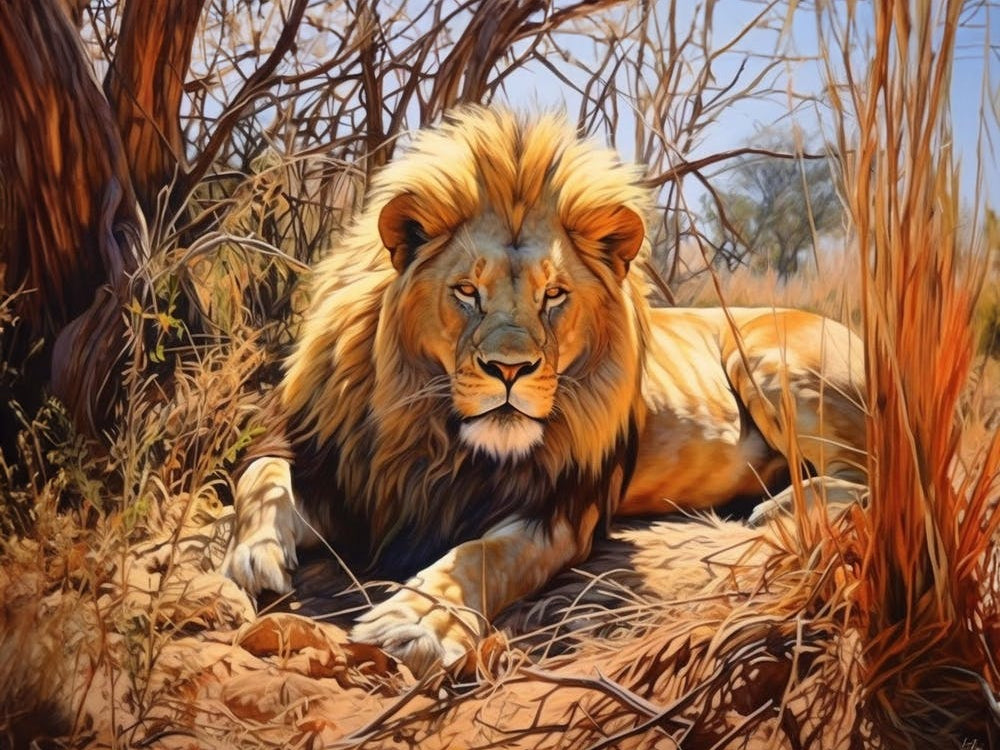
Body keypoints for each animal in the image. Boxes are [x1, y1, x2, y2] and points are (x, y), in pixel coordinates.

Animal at [224, 107, 867, 676]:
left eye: (553, 295)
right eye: (467, 291)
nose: (510, 369)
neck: (437, 441)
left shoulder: (559, 511)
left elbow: (482, 556)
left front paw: (418, 623)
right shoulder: (332, 464)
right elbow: (262, 478)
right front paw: (254, 556)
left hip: (769, 358)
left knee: (870, 471)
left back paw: (776, 509)